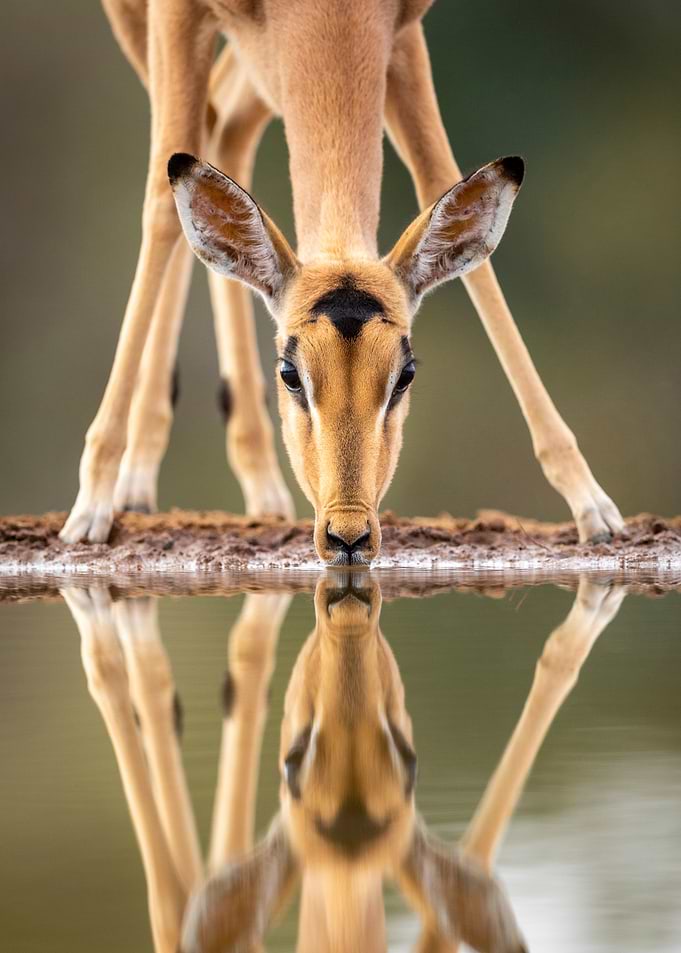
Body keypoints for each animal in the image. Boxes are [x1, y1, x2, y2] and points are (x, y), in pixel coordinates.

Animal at [59, 0, 624, 565]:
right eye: (289, 373)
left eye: (405, 374)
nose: (347, 535)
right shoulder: (176, 16)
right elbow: (161, 201)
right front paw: (89, 510)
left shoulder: (404, 31)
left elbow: (440, 183)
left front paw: (593, 507)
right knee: (195, 147)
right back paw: (137, 482)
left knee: (226, 126)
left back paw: (262, 488)